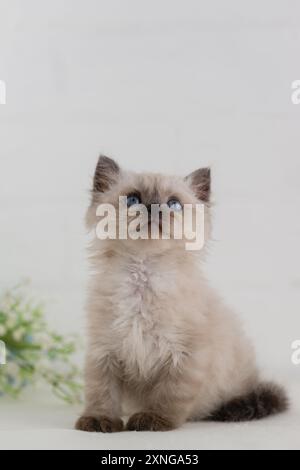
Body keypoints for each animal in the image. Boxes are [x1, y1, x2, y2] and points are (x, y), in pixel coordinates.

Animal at [75, 156, 286, 432]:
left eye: (173, 204)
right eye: (132, 199)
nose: (153, 208)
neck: (143, 276)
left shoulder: (186, 355)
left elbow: (170, 395)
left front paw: (152, 420)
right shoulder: (104, 352)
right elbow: (101, 393)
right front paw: (99, 421)